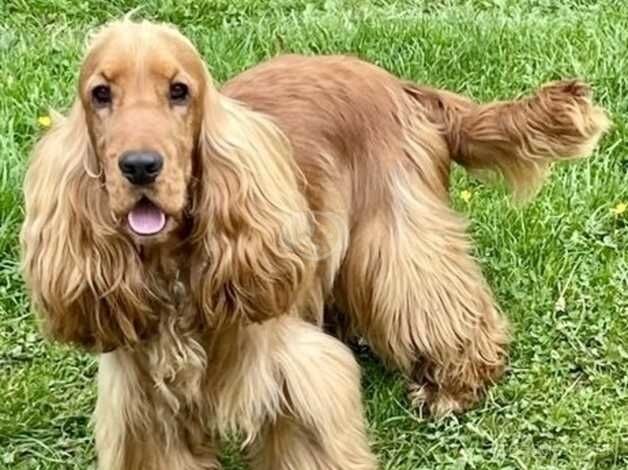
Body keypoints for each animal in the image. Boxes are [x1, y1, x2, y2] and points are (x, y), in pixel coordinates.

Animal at [20, 16, 608, 468]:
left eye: (179, 91)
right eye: (101, 94)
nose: (140, 166)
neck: (175, 270)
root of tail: (401, 85)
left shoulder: (297, 374)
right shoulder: (144, 411)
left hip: (395, 238)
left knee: (441, 304)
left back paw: (453, 386)